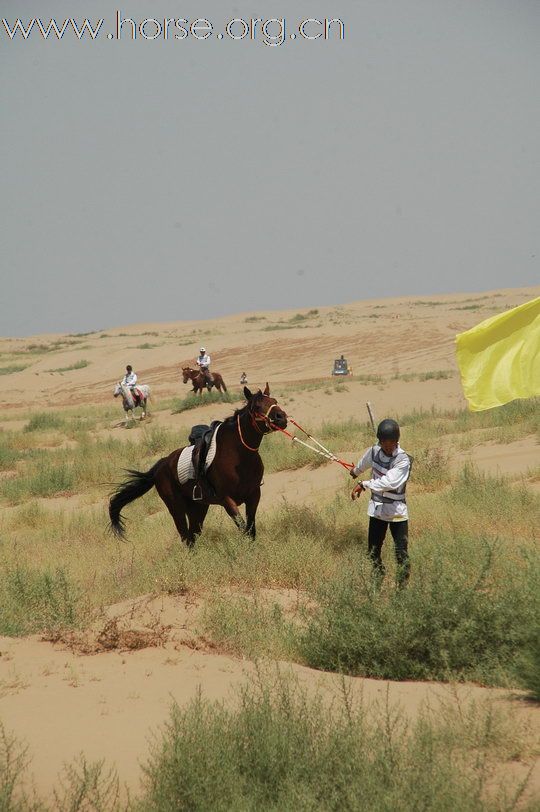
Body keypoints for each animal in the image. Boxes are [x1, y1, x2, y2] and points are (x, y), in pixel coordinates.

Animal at [109, 384, 286, 548]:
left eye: (274, 401)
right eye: (257, 407)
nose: (281, 417)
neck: (238, 455)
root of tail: (161, 466)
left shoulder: (253, 495)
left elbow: (251, 528)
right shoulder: (227, 500)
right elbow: (243, 527)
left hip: (198, 508)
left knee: (193, 535)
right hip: (176, 508)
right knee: (185, 537)